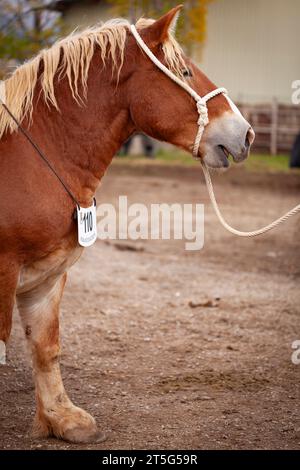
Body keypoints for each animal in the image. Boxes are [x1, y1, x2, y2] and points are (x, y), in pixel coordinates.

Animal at [0, 5, 253, 442]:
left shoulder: (47, 275)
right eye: (185, 71)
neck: (31, 159)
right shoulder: (4, 270)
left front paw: (62, 419)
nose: (247, 134)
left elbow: (45, 347)